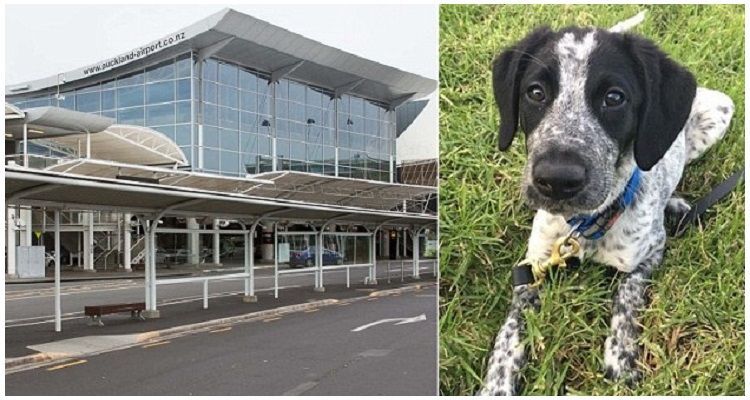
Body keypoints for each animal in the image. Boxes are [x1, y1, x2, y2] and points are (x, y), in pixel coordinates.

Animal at [482, 24, 736, 394]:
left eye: (614, 97)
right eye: (535, 92)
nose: (557, 180)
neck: (585, 225)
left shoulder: (649, 254)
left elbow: (626, 298)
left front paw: (621, 354)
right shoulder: (532, 270)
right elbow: (509, 334)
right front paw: (496, 384)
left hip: (718, 112)